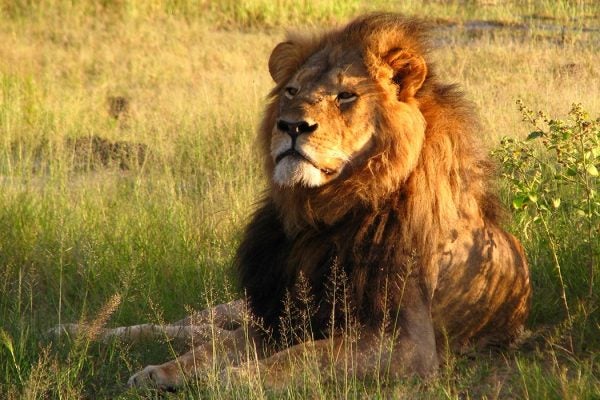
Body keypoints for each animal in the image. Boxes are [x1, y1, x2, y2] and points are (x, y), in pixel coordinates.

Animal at [52, 13, 528, 390]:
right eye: (291, 91)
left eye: (346, 96)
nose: (292, 126)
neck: (323, 213)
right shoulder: (278, 315)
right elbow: (214, 349)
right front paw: (163, 373)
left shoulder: (407, 341)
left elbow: (304, 356)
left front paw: (234, 380)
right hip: (242, 304)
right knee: (190, 325)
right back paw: (77, 331)